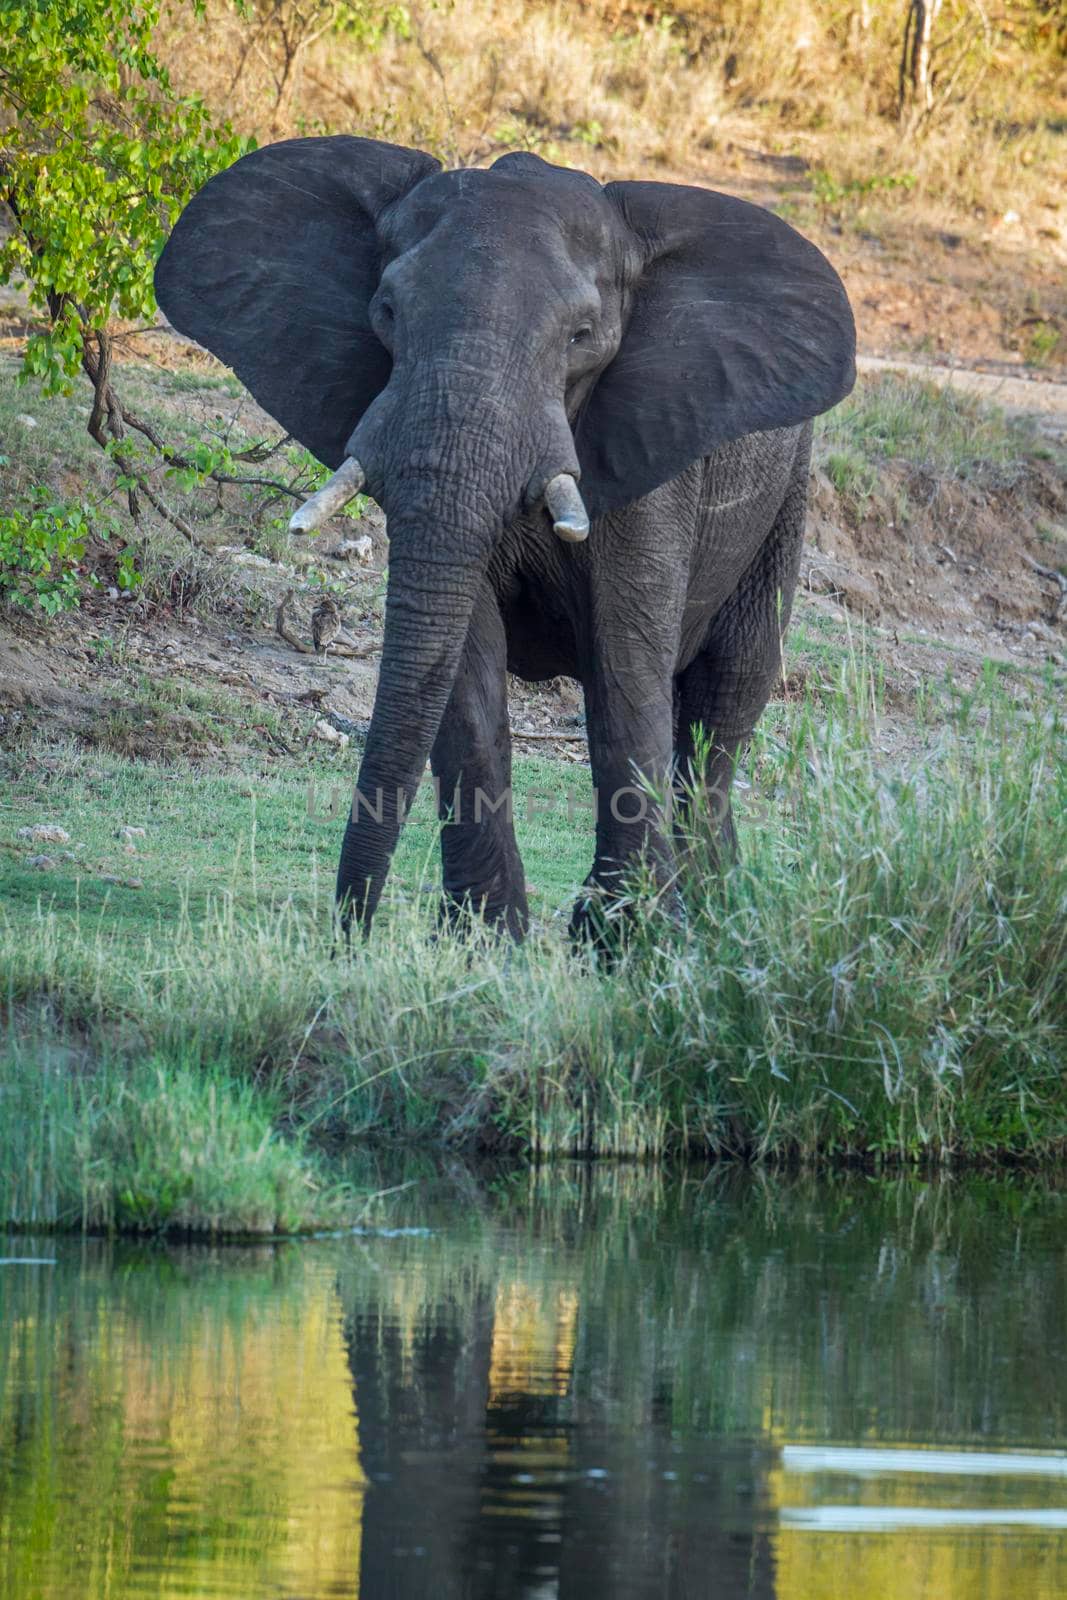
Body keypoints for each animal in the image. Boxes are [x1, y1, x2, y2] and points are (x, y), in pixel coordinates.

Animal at [156, 144, 857, 940]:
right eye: (386, 311)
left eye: (581, 337)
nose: (349, 932)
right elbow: (464, 664)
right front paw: (483, 940)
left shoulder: (650, 451)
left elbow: (623, 664)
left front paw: (627, 941)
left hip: (786, 495)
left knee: (725, 701)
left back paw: (712, 917)